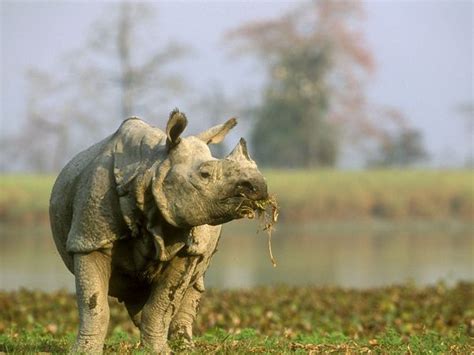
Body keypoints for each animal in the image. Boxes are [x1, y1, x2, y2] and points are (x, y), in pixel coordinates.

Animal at [50, 110, 268, 354]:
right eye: (204, 174)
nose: (259, 186)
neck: (150, 169)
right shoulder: (90, 240)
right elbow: (94, 305)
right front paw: (84, 351)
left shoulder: (187, 247)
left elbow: (162, 305)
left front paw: (158, 351)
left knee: (194, 281)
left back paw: (184, 346)